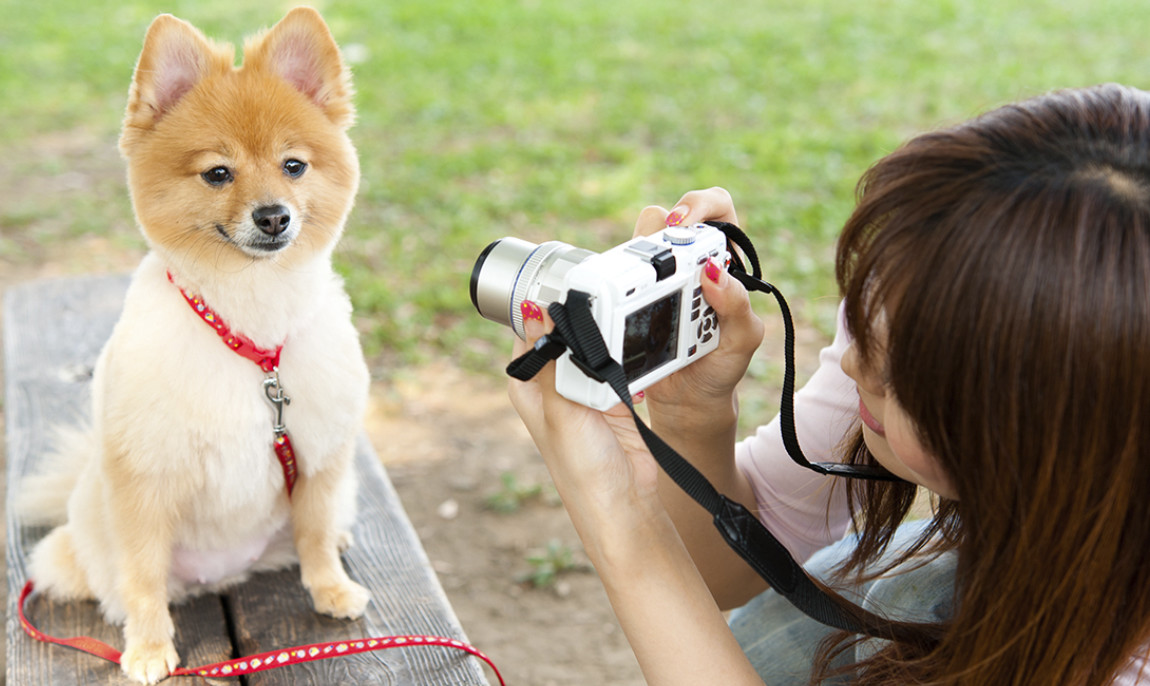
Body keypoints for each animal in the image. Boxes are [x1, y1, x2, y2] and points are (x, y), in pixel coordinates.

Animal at [20, 8, 368, 680]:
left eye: (293, 166)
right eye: (217, 173)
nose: (273, 215)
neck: (251, 327)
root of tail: (225, 575)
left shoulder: (318, 453)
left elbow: (312, 534)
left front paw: (330, 588)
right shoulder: (143, 477)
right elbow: (143, 577)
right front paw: (150, 649)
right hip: (84, 539)